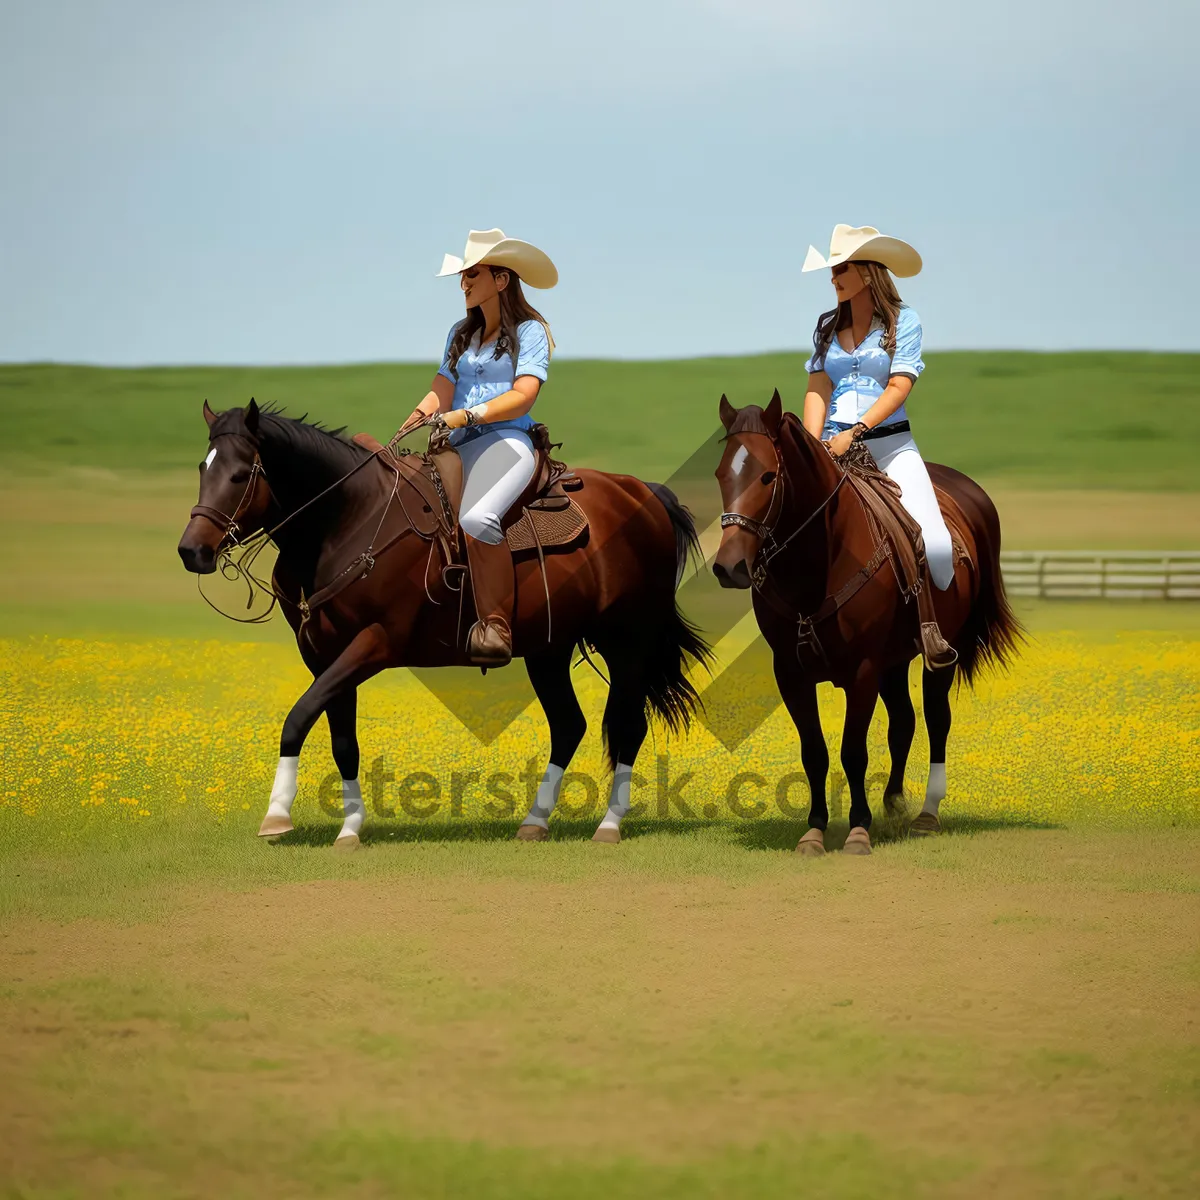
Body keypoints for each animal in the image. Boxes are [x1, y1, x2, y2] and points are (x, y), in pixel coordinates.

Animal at [174, 400, 705, 844]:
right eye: (202, 469)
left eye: (239, 475)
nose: (191, 550)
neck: (350, 520)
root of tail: (644, 493)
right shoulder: (324, 657)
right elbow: (343, 741)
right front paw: (350, 828)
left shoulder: (373, 644)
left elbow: (297, 717)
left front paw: (277, 815)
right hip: (549, 648)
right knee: (569, 725)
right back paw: (534, 823)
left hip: (627, 641)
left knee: (629, 725)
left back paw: (609, 825)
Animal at [710, 391, 1022, 854]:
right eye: (720, 475)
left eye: (767, 476)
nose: (729, 568)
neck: (821, 561)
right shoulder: (791, 673)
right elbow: (815, 753)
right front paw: (815, 830)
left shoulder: (862, 671)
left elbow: (853, 751)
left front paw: (858, 830)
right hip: (894, 662)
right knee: (903, 723)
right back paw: (893, 803)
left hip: (939, 654)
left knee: (937, 720)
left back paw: (927, 814)